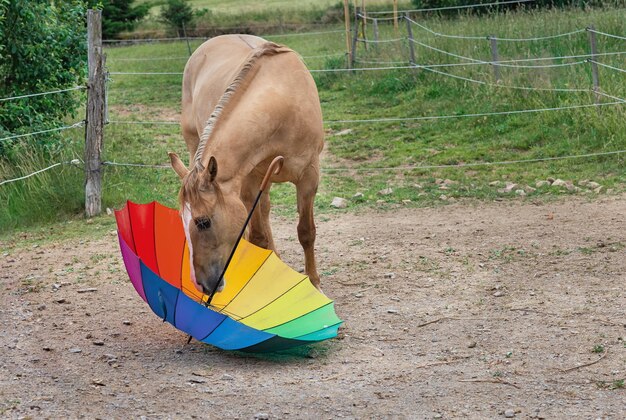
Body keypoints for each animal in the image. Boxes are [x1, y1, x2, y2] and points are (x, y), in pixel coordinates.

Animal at [168, 35, 324, 296]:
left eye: (203, 222)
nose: (201, 284)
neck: (282, 104)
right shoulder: (249, 181)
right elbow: (259, 236)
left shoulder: (308, 177)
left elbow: (306, 232)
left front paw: (314, 284)